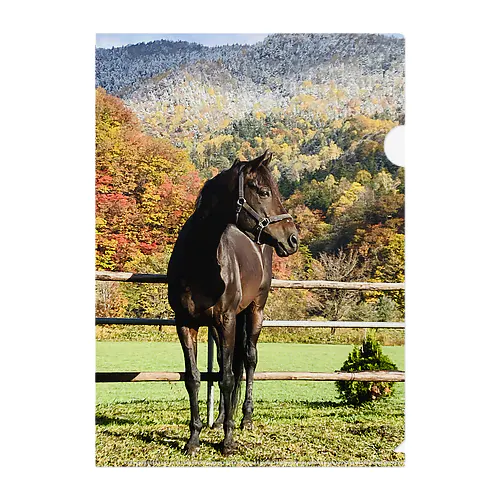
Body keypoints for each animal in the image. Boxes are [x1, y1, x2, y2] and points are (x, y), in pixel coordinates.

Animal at [168, 150, 298, 456]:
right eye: (263, 191)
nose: (293, 239)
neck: (199, 262)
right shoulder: (185, 324)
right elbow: (194, 378)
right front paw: (194, 439)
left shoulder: (226, 319)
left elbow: (227, 378)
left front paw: (228, 442)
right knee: (230, 364)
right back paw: (220, 419)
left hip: (254, 311)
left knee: (248, 360)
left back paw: (244, 419)